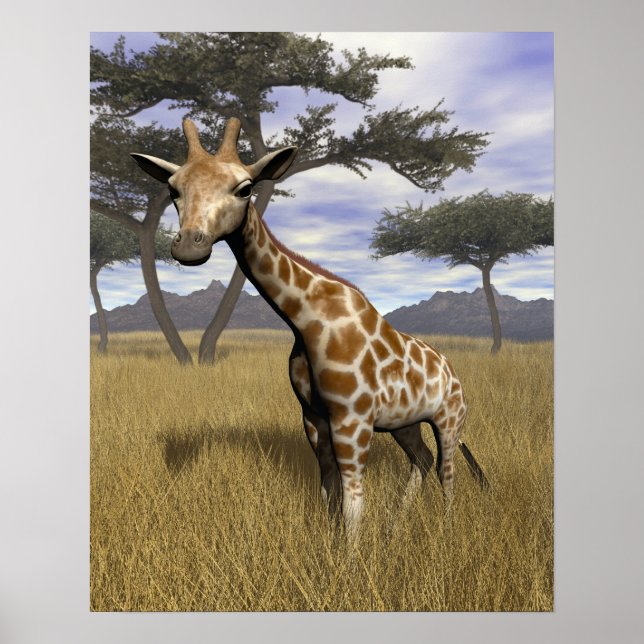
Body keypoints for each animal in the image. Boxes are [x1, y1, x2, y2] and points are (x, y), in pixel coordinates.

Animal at [131, 117, 488, 537]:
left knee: (447, 471)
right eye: (173, 189)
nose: (189, 247)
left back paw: (445, 528)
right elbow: (327, 491)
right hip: (406, 422)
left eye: (245, 188)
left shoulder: (352, 419)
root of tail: (453, 372)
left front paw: (352, 556)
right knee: (422, 459)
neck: (305, 320)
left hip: (449, 419)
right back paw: (395, 528)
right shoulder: (313, 417)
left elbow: (353, 502)